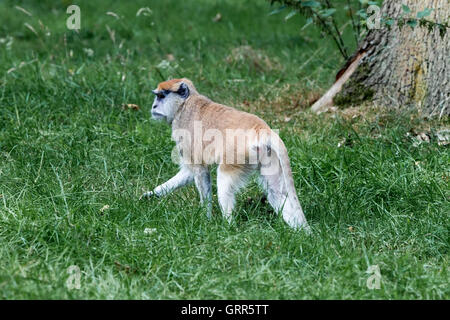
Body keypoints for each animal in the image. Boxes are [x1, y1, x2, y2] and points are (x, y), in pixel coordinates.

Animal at [141, 78, 310, 231]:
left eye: (161, 96)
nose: (154, 106)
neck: (184, 103)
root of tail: (262, 129)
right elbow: (188, 173)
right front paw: (151, 194)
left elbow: (200, 171)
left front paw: (205, 218)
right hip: (267, 156)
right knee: (276, 192)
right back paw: (299, 232)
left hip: (238, 155)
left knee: (224, 180)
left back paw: (228, 226)